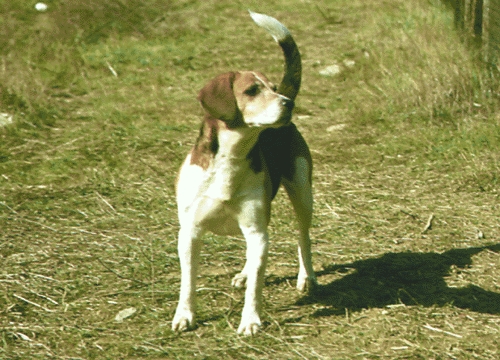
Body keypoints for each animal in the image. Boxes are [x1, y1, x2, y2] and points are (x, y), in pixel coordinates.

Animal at [172, 11, 316, 338]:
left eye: (273, 87)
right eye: (251, 91)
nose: (288, 103)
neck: (232, 157)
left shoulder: (256, 230)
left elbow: (256, 289)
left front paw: (250, 320)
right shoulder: (189, 234)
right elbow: (188, 283)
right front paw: (184, 316)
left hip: (302, 194)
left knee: (303, 237)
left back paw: (307, 277)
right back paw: (245, 272)